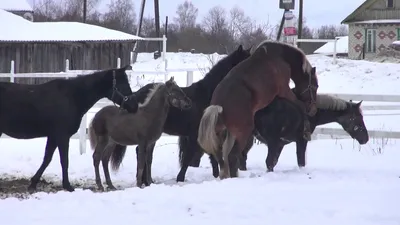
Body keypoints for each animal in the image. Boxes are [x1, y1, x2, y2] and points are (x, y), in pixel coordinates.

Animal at [0, 64, 134, 192]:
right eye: (123, 84)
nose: (134, 106)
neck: (72, 97)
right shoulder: (62, 136)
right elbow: (64, 161)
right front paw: (68, 186)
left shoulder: (53, 136)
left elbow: (47, 159)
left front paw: (33, 183)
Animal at [109, 44, 252, 183]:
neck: (207, 94)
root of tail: (134, 96)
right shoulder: (194, 135)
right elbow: (188, 157)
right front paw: (180, 178)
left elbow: (212, 155)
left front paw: (217, 175)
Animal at [198, 43, 320, 178]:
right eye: (315, 86)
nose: (313, 110)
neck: (280, 57)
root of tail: (218, 106)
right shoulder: (284, 90)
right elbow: (300, 105)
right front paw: (306, 129)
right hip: (243, 133)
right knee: (232, 157)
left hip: (223, 136)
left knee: (221, 158)